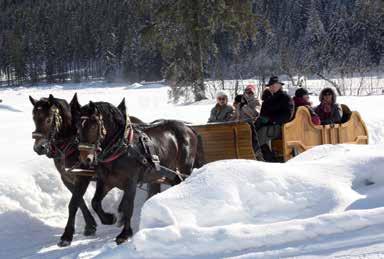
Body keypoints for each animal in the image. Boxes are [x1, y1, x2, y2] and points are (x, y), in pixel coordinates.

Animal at [28, 94, 142, 248]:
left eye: (49, 119)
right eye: (34, 118)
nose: (39, 148)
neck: (71, 143)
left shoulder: (83, 175)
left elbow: (73, 203)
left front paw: (67, 235)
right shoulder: (67, 177)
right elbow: (79, 201)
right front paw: (91, 225)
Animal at [74, 101, 204, 246]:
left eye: (93, 126)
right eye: (78, 127)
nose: (86, 159)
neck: (121, 148)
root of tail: (189, 128)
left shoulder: (130, 182)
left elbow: (128, 206)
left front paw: (124, 234)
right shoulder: (106, 181)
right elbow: (95, 202)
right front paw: (109, 218)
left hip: (184, 167)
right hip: (168, 172)